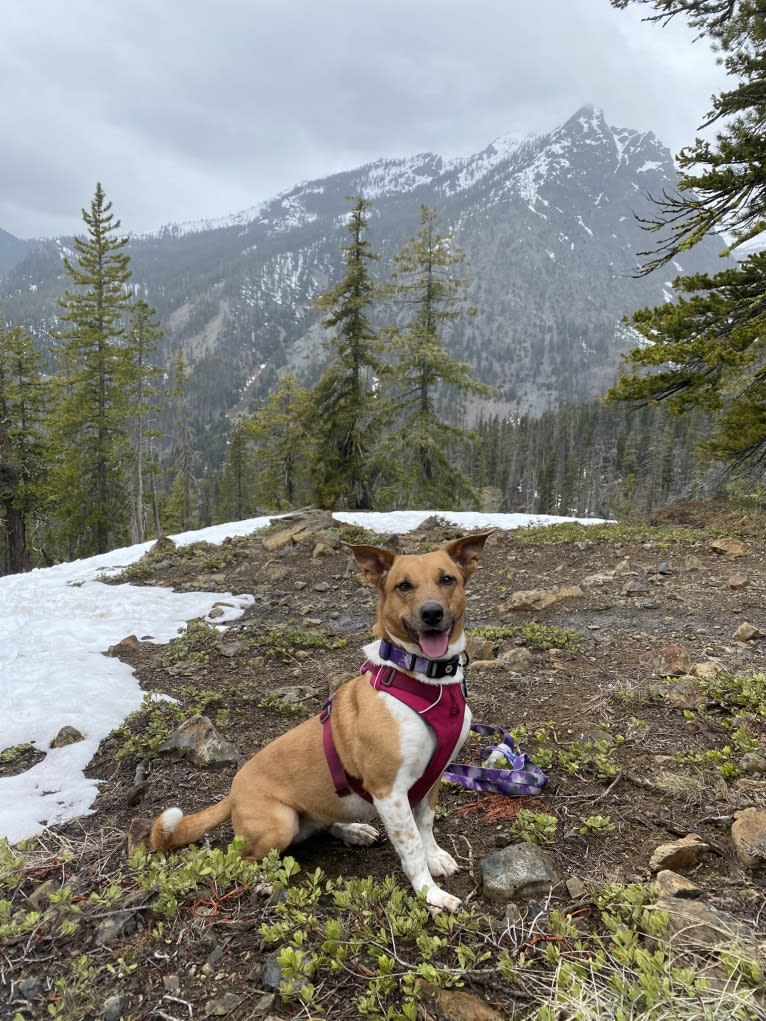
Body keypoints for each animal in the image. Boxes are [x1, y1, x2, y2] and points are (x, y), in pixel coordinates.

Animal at [148, 530, 492, 914]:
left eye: (447, 579)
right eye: (403, 586)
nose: (432, 613)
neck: (423, 682)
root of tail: (232, 794)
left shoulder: (431, 777)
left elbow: (426, 825)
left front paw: (435, 858)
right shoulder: (389, 791)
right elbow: (412, 845)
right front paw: (429, 893)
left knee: (320, 825)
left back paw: (353, 830)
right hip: (279, 823)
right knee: (245, 859)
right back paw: (265, 881)